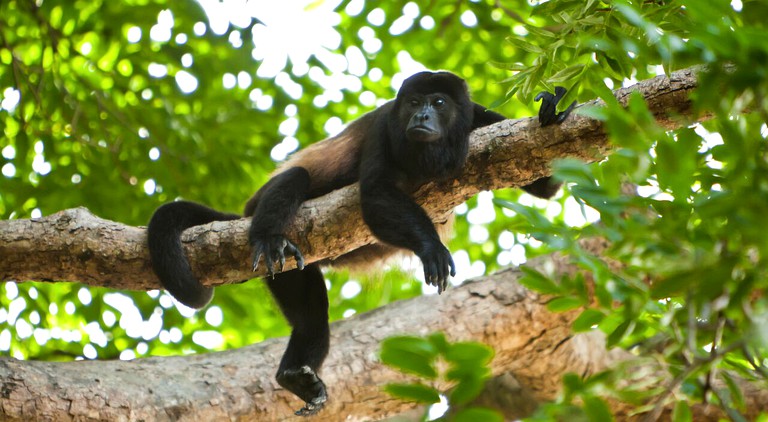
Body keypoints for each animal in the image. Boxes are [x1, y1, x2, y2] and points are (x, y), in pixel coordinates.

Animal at [147, 70, 572, 416]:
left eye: (439, 103)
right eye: (414, 103)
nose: (421, 117)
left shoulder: (480, 118)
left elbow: (543, 183)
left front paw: (550, 114)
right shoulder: (386, 124)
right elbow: (376, 194)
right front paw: (431, 248)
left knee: (311, 317)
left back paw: (293, 374)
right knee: (296, 179)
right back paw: (270, 240)